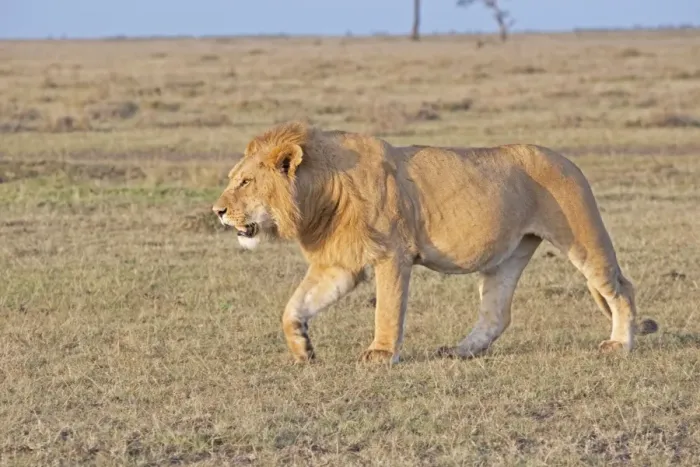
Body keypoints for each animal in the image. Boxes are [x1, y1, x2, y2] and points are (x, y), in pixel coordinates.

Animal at [212, 120, 658, 364]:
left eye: (245, 182)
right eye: (234, 178)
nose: (217, 211)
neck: (319, 192)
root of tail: (567, 159)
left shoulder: (392, 254)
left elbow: (388, 310)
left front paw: (381, 354)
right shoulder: (339, 264)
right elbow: (294, 306)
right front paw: (303, 349)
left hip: (581, 235)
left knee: (620, 288)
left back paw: (620, 344)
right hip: (509, 255)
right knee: (496, 314)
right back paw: (461, 351)